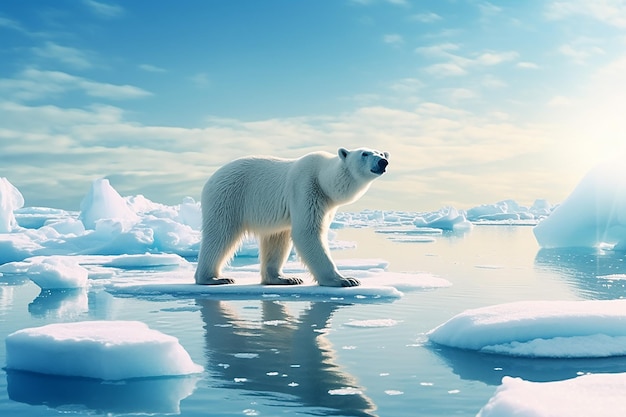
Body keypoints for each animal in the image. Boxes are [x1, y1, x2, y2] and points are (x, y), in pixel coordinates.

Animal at [195, 146, 388, 286]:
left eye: (380, 152)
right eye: (364, 153)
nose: (383, 161)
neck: (323, 178)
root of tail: (210, 179)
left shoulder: (326, 203)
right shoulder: (306, 188)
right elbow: (307, 232)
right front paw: (345, 279)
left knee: (276, 237)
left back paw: (284, 278)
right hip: (228, 197)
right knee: (220, 234)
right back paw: (213, 278)